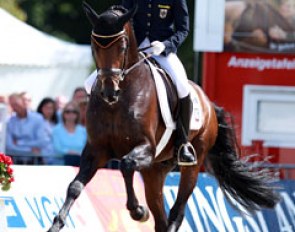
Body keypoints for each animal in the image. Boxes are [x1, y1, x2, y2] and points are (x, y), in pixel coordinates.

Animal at [48, 2, 280, 232]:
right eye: (94, 47)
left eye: (122, 47)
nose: (109, 92)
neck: (120, 100)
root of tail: (208, 102)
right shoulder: (97, 150)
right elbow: (75, 186)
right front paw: (56, 224)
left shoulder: (146, 148)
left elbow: (126, 164)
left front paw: (138, 211)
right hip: (155, 170)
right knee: (160, 219)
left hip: (193, 163)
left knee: (177, 211)